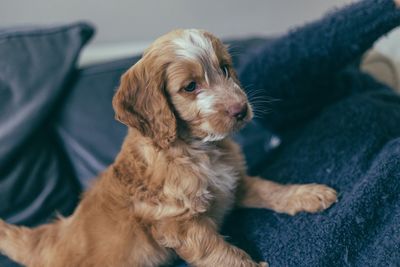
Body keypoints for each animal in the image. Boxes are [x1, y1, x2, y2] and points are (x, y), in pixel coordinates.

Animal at [0, 29, 338, 267]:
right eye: (190, 87)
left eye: (225, 69)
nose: (241, 110)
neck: (199, 150)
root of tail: (46, 240)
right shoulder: (181, 225)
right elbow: (223, 254)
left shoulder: (233, 183)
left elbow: (269, 189)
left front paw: (307, 194)